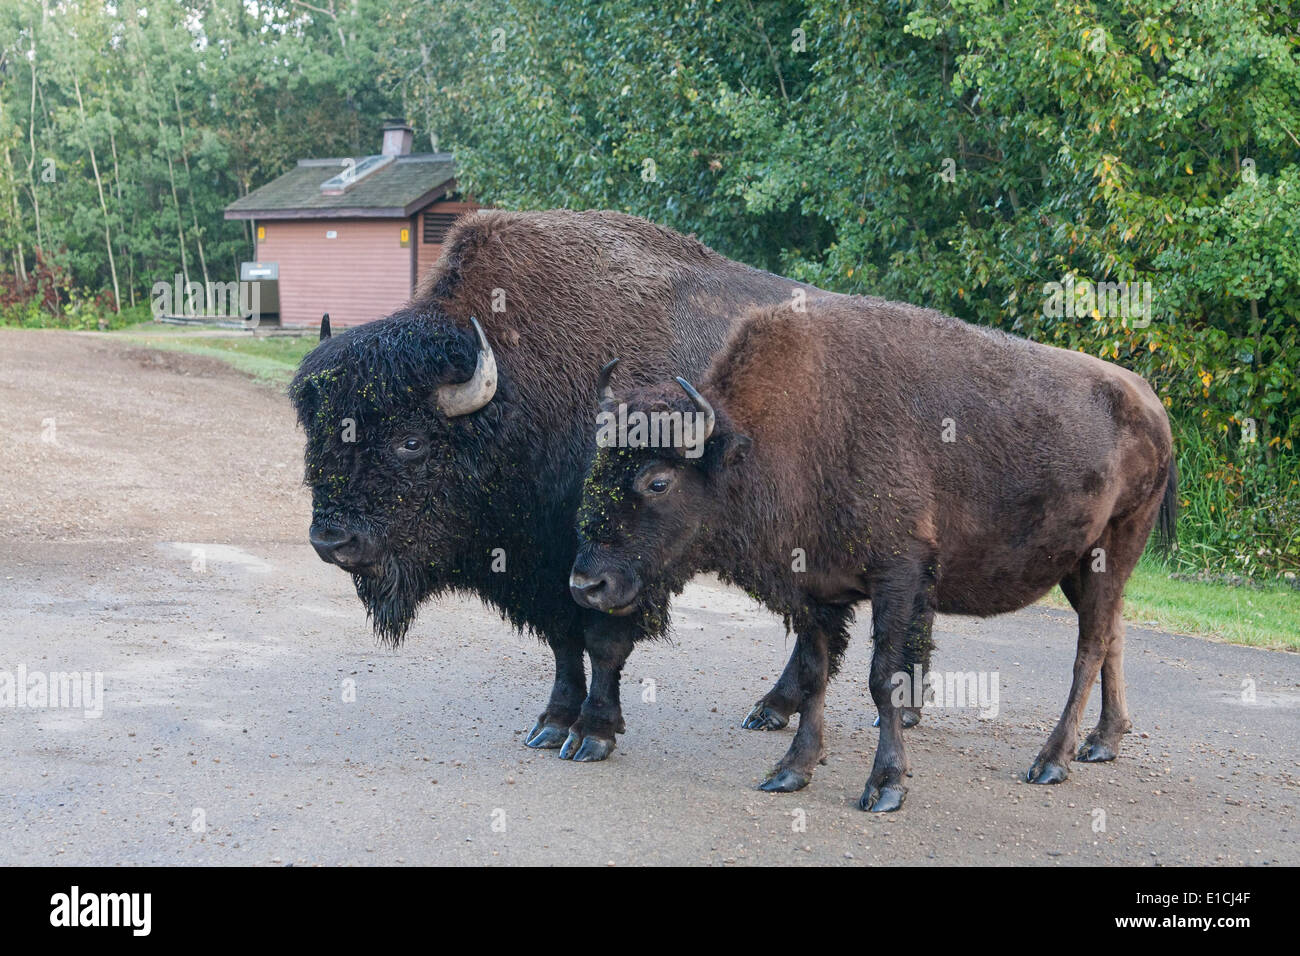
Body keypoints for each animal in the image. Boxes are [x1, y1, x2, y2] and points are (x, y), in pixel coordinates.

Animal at [289, 210, 904, 764]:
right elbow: (564, 643)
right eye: (316, 431)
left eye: (411, 441)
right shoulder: (546, 570)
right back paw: (773, 708)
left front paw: (593, 735)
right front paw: (551, 724)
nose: (331, 541)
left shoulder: (612, 562)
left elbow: (603, 642)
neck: (513, 395)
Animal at [572, 295, 1180, 811]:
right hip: (1081, 567)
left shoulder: (899, 576)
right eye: (597, 468)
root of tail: (1152, 404)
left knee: (1090, 646)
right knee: (1112, 635)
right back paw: (1103, 742)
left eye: (658, 481)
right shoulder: (814, 592)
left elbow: (883, 677)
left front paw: (885, 786)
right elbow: (815, 674)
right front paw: (790, 771)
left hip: (1112, 549)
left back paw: (1052, 760)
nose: (587, 585)